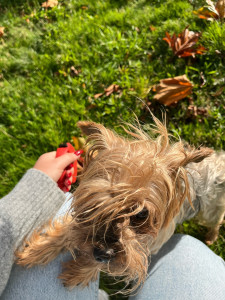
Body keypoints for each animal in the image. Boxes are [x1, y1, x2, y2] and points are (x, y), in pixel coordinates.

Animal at [15, 116, 225, 292]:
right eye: (93, 206)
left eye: (141, 215)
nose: (102, 252)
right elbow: (69, 230)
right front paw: (38, 250)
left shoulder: (146, 246)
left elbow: (121, 259)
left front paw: (80, 272)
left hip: (210, 209)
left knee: (216, 219)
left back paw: (211, 236)